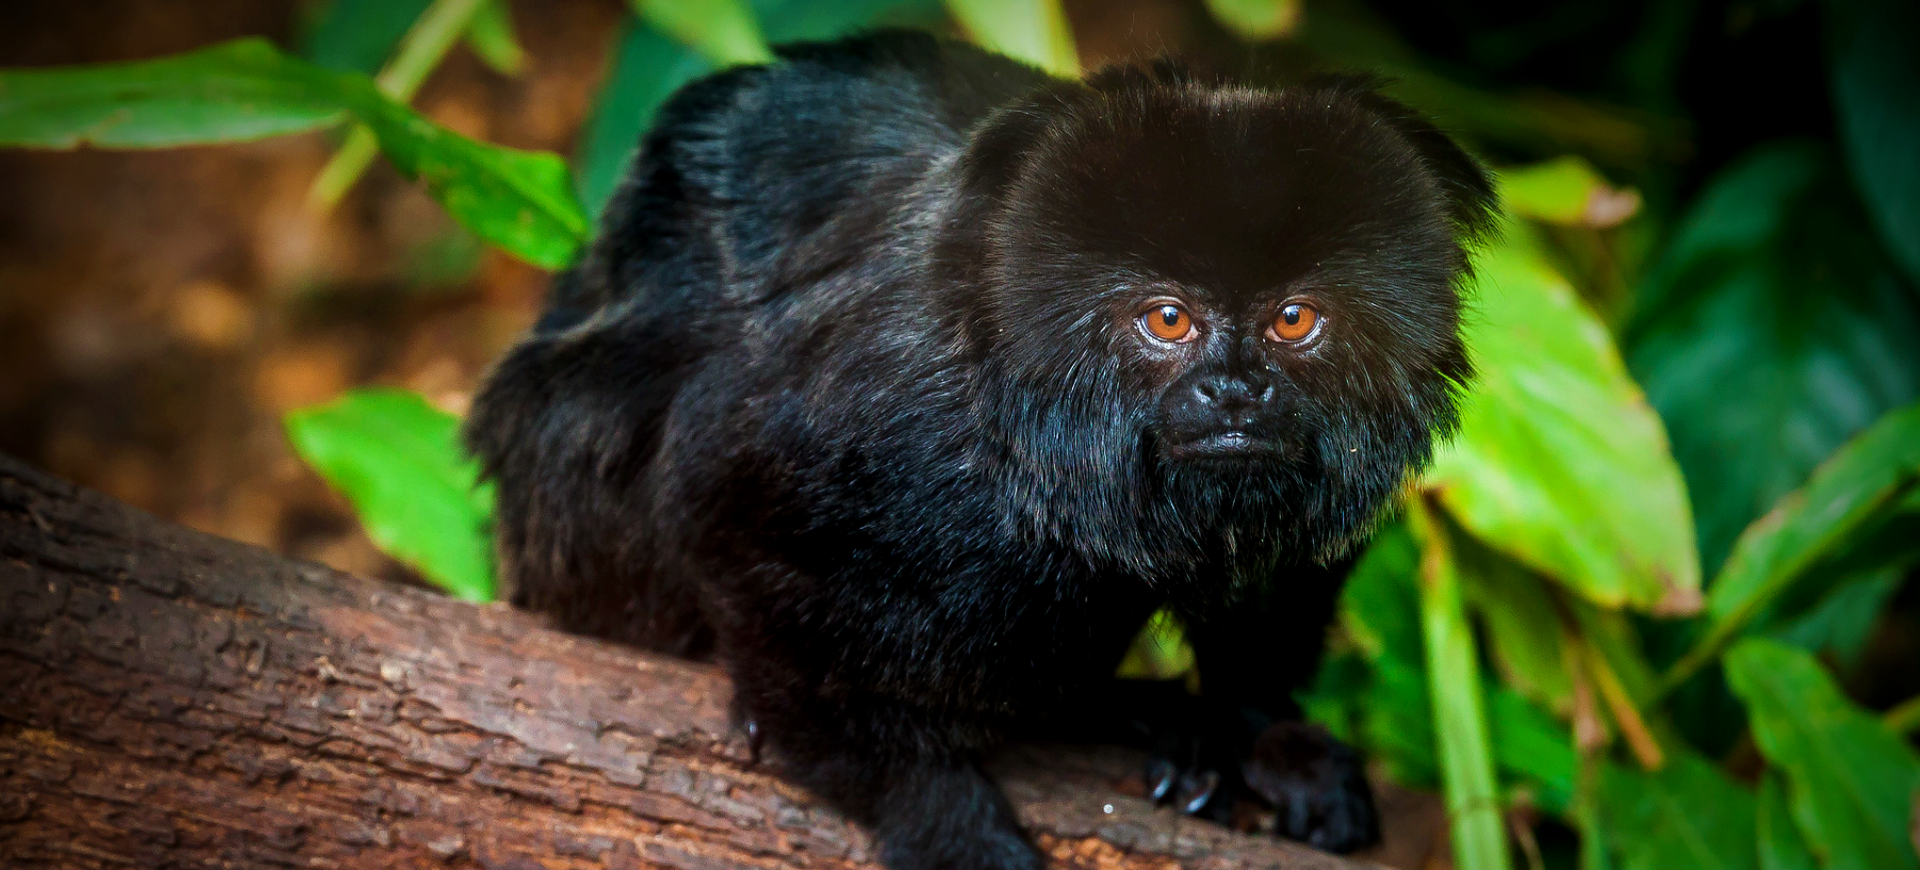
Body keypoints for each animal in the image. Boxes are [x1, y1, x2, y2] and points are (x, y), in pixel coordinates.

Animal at [460, 30, 1482, 868]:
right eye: (1168, 320)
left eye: (1294, 320)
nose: (1235, 390)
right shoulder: (886, 417)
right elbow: (725, 507)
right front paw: (944, 821)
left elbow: (1271, 587)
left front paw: (1262, 733)